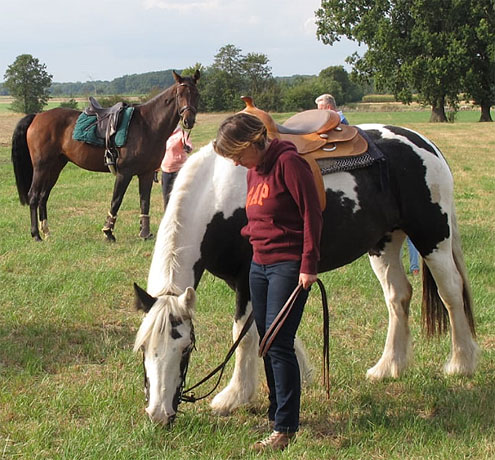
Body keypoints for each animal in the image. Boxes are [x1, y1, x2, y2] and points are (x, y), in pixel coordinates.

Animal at [11, 70, 200, 242]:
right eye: (179, 94)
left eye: (196, 94)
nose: (188, 120)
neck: (147, 125)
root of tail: (37, 116)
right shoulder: (124, 173)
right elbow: (116, 201)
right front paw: (108, 232)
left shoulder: (146, 174)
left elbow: (144, 202)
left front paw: (145, 234)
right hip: (41, 167)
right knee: (34, 196)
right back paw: (36, 235)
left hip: (55, 167)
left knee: (43, 196)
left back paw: (46, 232)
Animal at [133, 124, 479, 426]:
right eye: (143, 349)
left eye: (185, 348)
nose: (158, 414)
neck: (217, 193)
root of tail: (424, 143)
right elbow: (271, 326)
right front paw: (303, 371)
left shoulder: (246, 278)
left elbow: (244, 335)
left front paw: (234, 396)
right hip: (385, 242)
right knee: (398, 297)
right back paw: (388, 367)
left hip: (432, 236)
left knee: (451, 291)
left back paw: (461, 363)